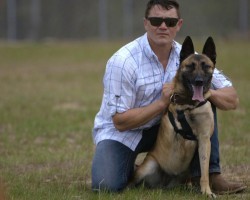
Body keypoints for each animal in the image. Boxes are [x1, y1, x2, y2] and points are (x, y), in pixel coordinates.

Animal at [133, 36, 217, 198]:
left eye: (206, 66)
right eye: (190, 66)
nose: (199, 81)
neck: (189, 104)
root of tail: (164, 183)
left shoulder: (204, 140)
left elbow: (204, 172)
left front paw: (206, 191)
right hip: (147, 167)